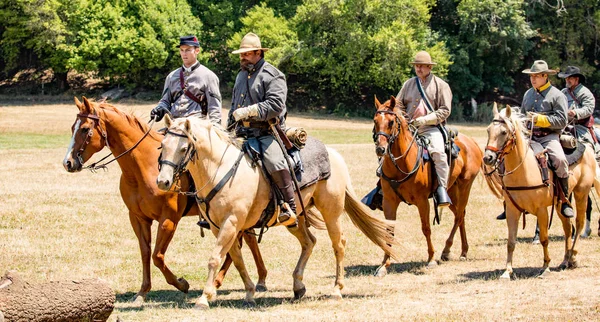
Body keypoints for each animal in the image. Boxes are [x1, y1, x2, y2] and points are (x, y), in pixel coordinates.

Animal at [61, 97, 268, 304]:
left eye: (85, 129)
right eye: (72, 127)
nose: (68, 162)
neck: (142, 168)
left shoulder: (169, 219)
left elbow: (157, 256)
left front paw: (181, 284)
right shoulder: (137, 218)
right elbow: (145, 253)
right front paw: (142, 291)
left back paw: (220, 283)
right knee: (246, 241)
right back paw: (259, 279)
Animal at [155, 115, 400, 310]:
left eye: (183, 148)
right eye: (163, 145)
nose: (163, 181)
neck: (221, 169)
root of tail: (333, 154)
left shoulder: (231, 223)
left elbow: (215, 259)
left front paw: (204, 299)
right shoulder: (220, 228)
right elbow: (237, 259)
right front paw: (250, 291)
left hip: (331, 213)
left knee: (338, 244)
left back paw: (337, 289)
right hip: (296, 218)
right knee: (309, 242)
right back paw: (298, 285)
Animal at [370, 97, 482, 276]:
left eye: (391, 122)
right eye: (375, 121)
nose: (381, 149)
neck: (401, 164)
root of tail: (472, 142)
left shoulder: (422, 202)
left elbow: (426, 228)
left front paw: (431, 259)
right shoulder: (389, 202)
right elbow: (389, 232)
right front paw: (384, 265)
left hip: (465, 186)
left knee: (458, 216)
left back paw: (447, 250)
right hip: (450, 191)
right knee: (461, 215)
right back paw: (463, 251)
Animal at [482, 104, 600, 280]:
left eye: (503, 132)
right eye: (488, 130)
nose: (488, 158)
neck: (523, 169)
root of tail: (588, 149)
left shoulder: (542, 210)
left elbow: (544, 239)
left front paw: (545, 267)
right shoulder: (512, 210)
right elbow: (511, 241)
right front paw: (507, 271)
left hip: (582, 193)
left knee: (578, 224)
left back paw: (573, 256)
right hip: (561, 202)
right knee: (568, 227)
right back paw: (565, 260)